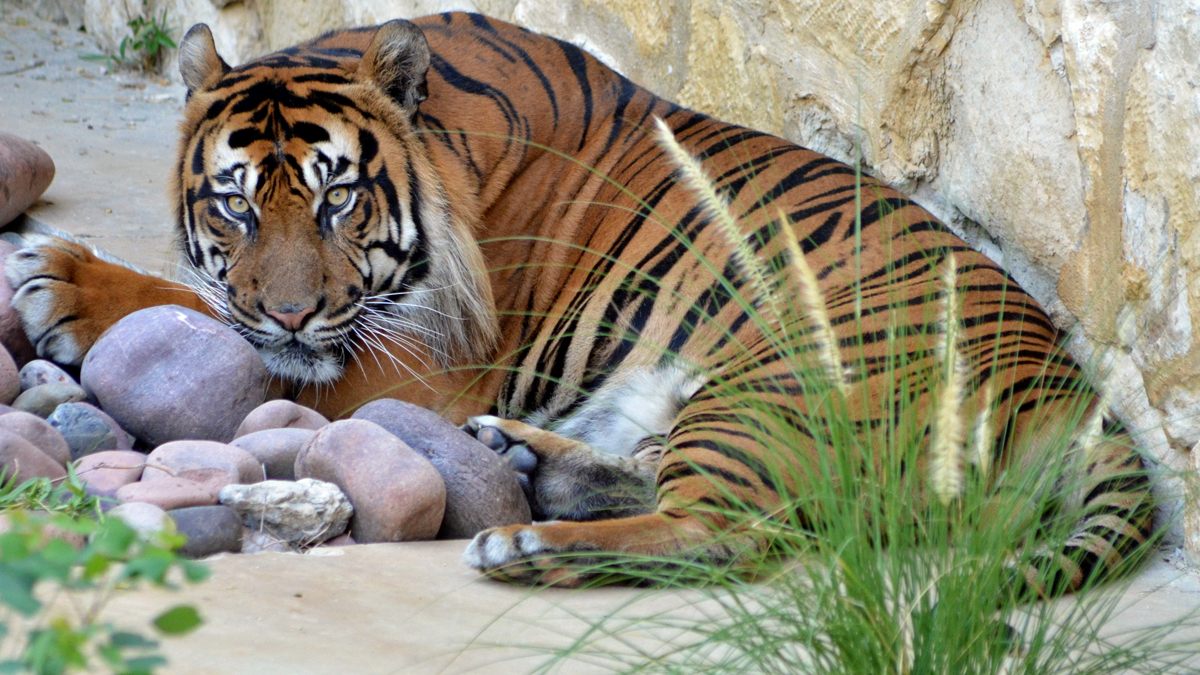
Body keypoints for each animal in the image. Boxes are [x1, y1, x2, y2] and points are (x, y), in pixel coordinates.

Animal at [4, 13, 1150, 591]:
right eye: (236, 205)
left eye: (336, 199)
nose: (289, 313)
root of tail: (1066, 391)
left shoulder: (418, 358)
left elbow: (203, 315)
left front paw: (63, 281)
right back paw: (522, 461)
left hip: (766, 384)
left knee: (733, 533)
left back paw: (528, 542)